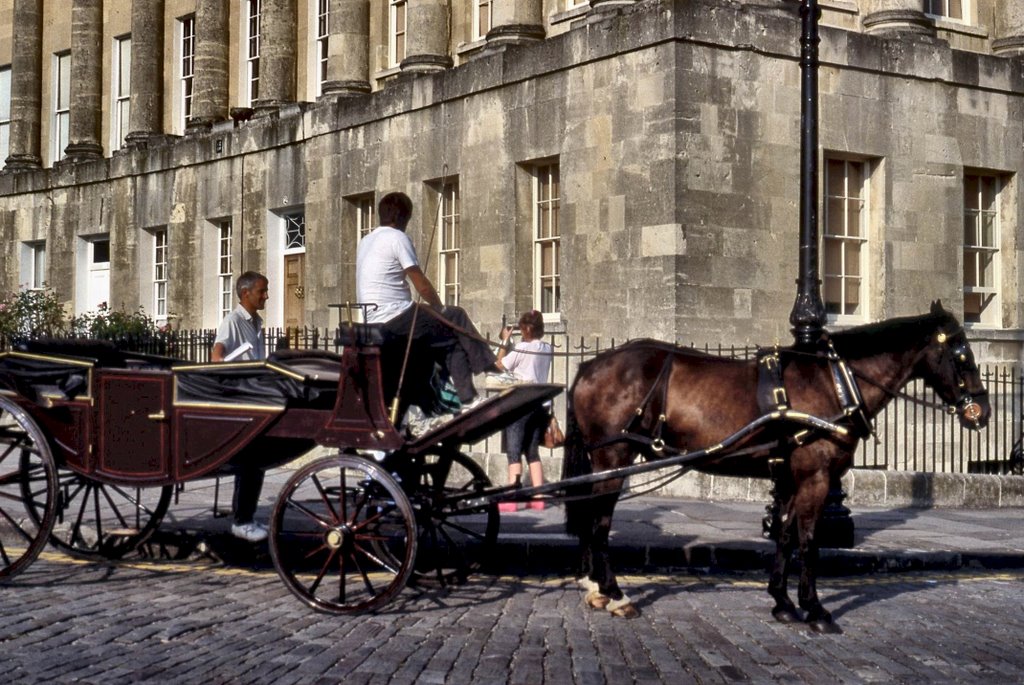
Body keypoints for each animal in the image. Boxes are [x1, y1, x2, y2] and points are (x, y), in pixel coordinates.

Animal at [565, 301, 987, 634]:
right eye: (963, 355)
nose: (982, 412)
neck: (834, 382)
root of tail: (589, 366)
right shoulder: (816, 477)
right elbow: (810, 541)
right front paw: (815, 609)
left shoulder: (791, 477)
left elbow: (785, 535)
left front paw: (783, 602)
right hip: (613, 457)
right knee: (599, 522)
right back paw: (614, 594)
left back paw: (597, 588)